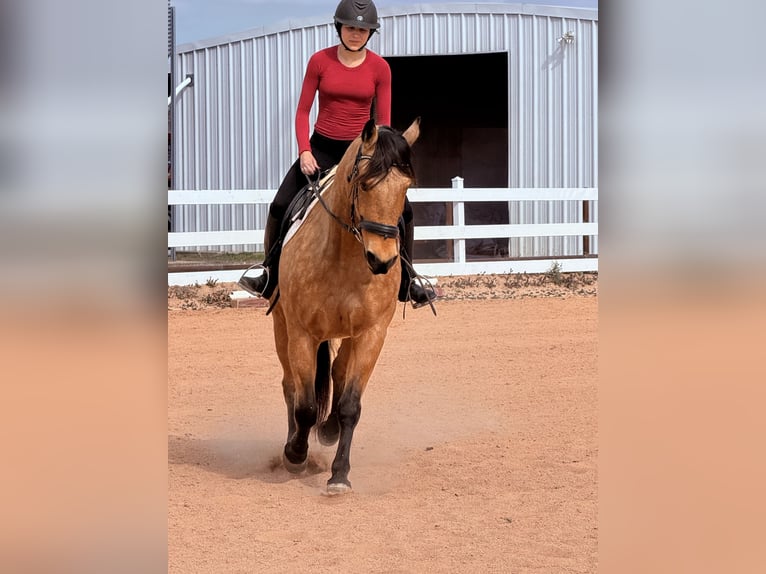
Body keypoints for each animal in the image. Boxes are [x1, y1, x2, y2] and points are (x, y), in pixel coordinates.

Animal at [269, 117, 421, 495]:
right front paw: (295, 454)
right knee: (291, 387)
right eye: (364, 184)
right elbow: (306, 405)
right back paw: (295, 442)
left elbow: (351, 405)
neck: (344, 258)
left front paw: (339, 474)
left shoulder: (372, 334)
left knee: (336, 373)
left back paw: (330, 429)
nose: (382, 261)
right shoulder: (303, 334)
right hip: (282, 327)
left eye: (405, 186)